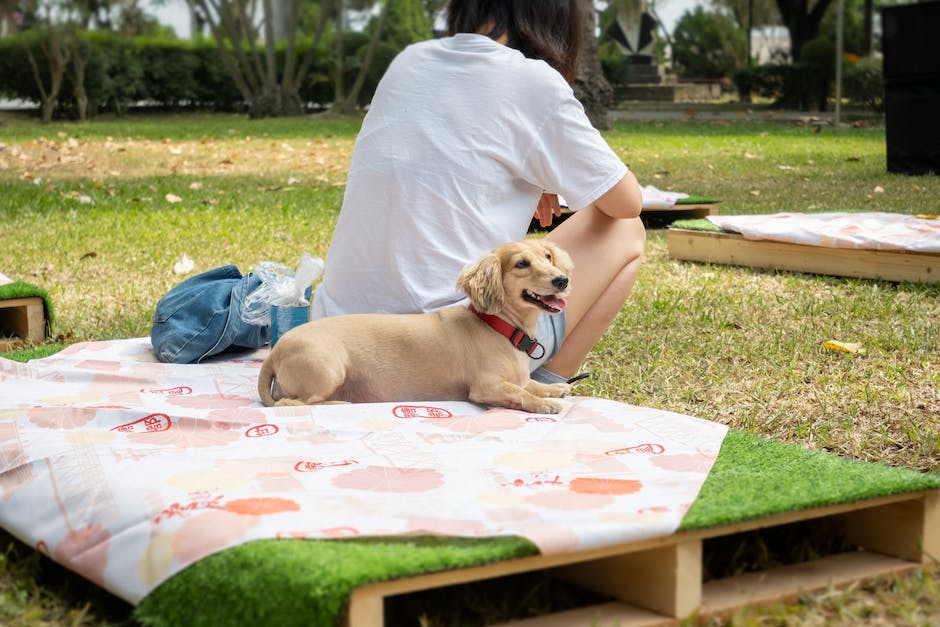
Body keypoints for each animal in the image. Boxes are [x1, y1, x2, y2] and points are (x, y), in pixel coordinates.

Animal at [258, 238, 572, 414]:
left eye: (547, 256)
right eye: (521, 264)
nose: (562, 280)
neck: (498, 327)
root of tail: (276, 352)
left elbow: (529, 384)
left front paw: (552, 389)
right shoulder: (486, 387)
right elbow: (520, 392)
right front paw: (544, 403)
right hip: (328, 368)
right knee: (294, 404)